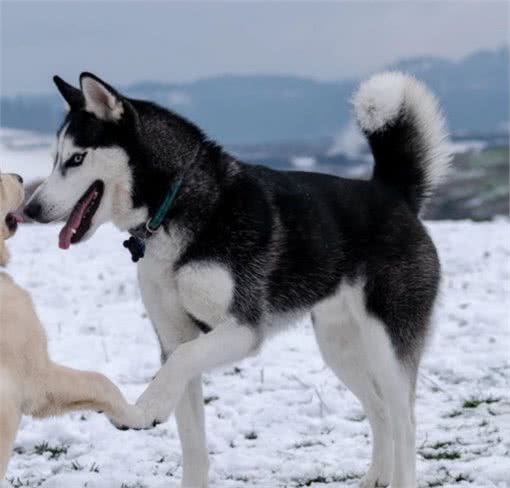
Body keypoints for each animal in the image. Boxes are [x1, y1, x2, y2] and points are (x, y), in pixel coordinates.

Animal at [25, 72, 450, 488]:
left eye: (77, 159)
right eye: (55, 159)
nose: (30, 209)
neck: (174, 206)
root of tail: (392, 192)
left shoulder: (243, 329)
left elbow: (182, 361)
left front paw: (146, 408)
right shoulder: (173, 335)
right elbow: (192, 439)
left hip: (387, 344)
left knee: (404, 421)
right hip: (339, 346)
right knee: (380, 410)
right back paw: (377, 476)